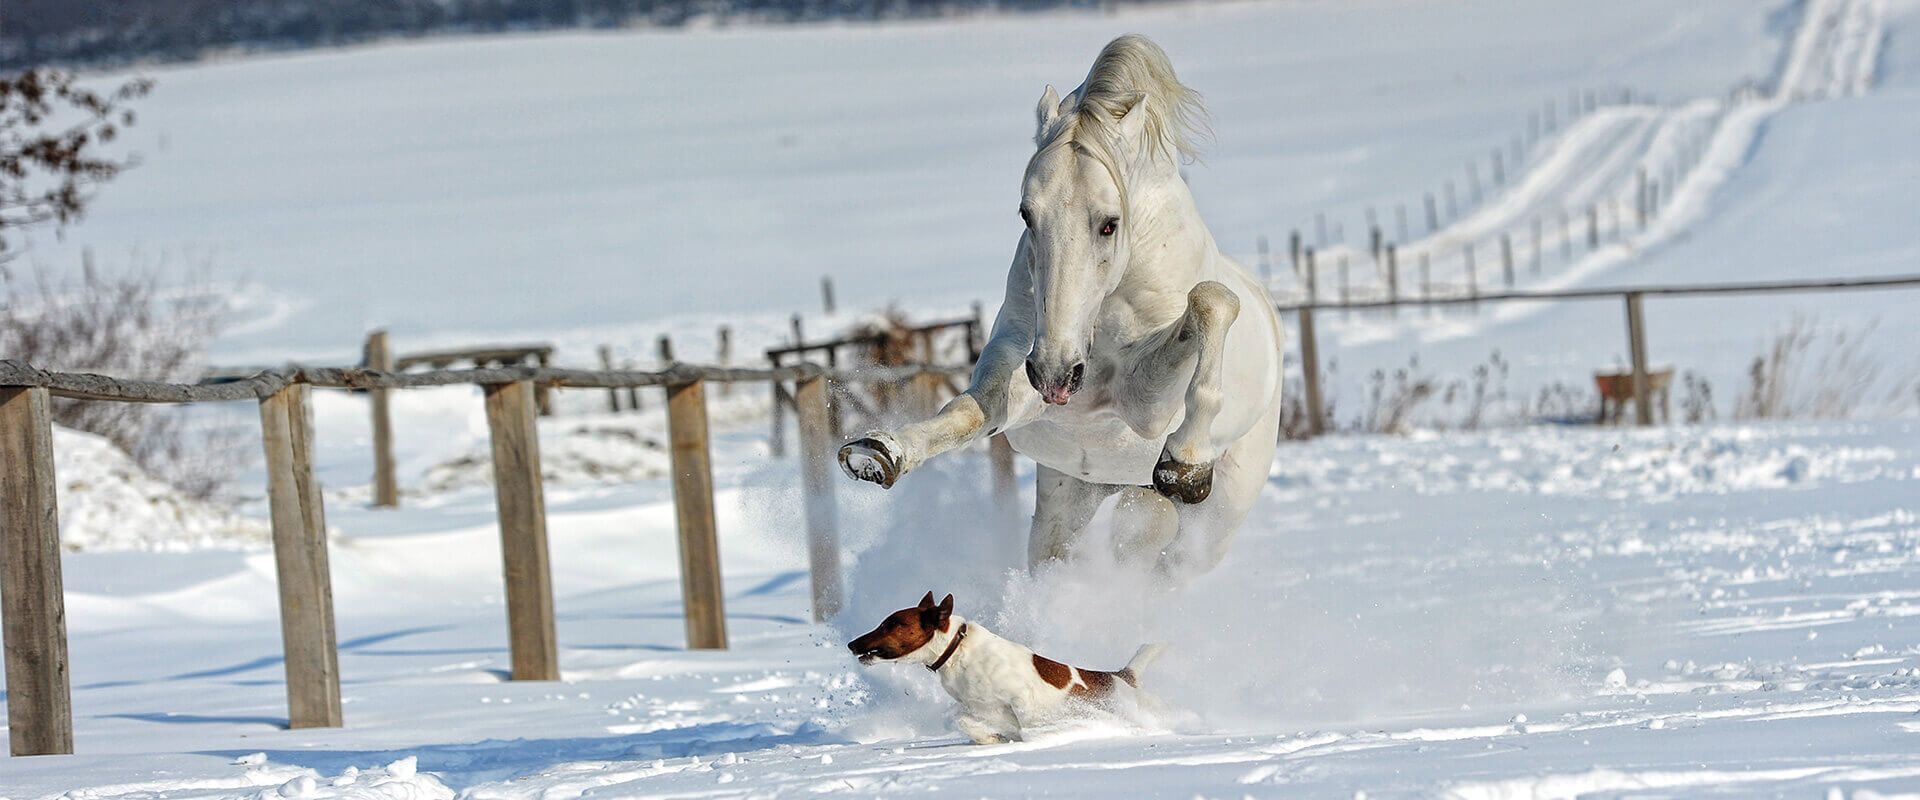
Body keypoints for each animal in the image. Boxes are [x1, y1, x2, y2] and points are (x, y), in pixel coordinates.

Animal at [837, 34, 1274, 575]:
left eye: (1109, 223)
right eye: (1027, 213)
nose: (1056, 374)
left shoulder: (1146, 406)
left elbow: (1210, 300)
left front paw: (1184, 463)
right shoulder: (1023, 379)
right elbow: (968, 412)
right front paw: (877, 454)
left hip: (1212, 524)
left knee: (1166, 569)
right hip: (1068, 502)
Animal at [848, 590, 1159, 740]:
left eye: (890, 624)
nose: (851, 644)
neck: (957, 651)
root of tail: (1121, 676)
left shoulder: (1023, 700)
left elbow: (1028, 728)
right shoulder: (976, 707)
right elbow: (962, 720)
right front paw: (991, 739)